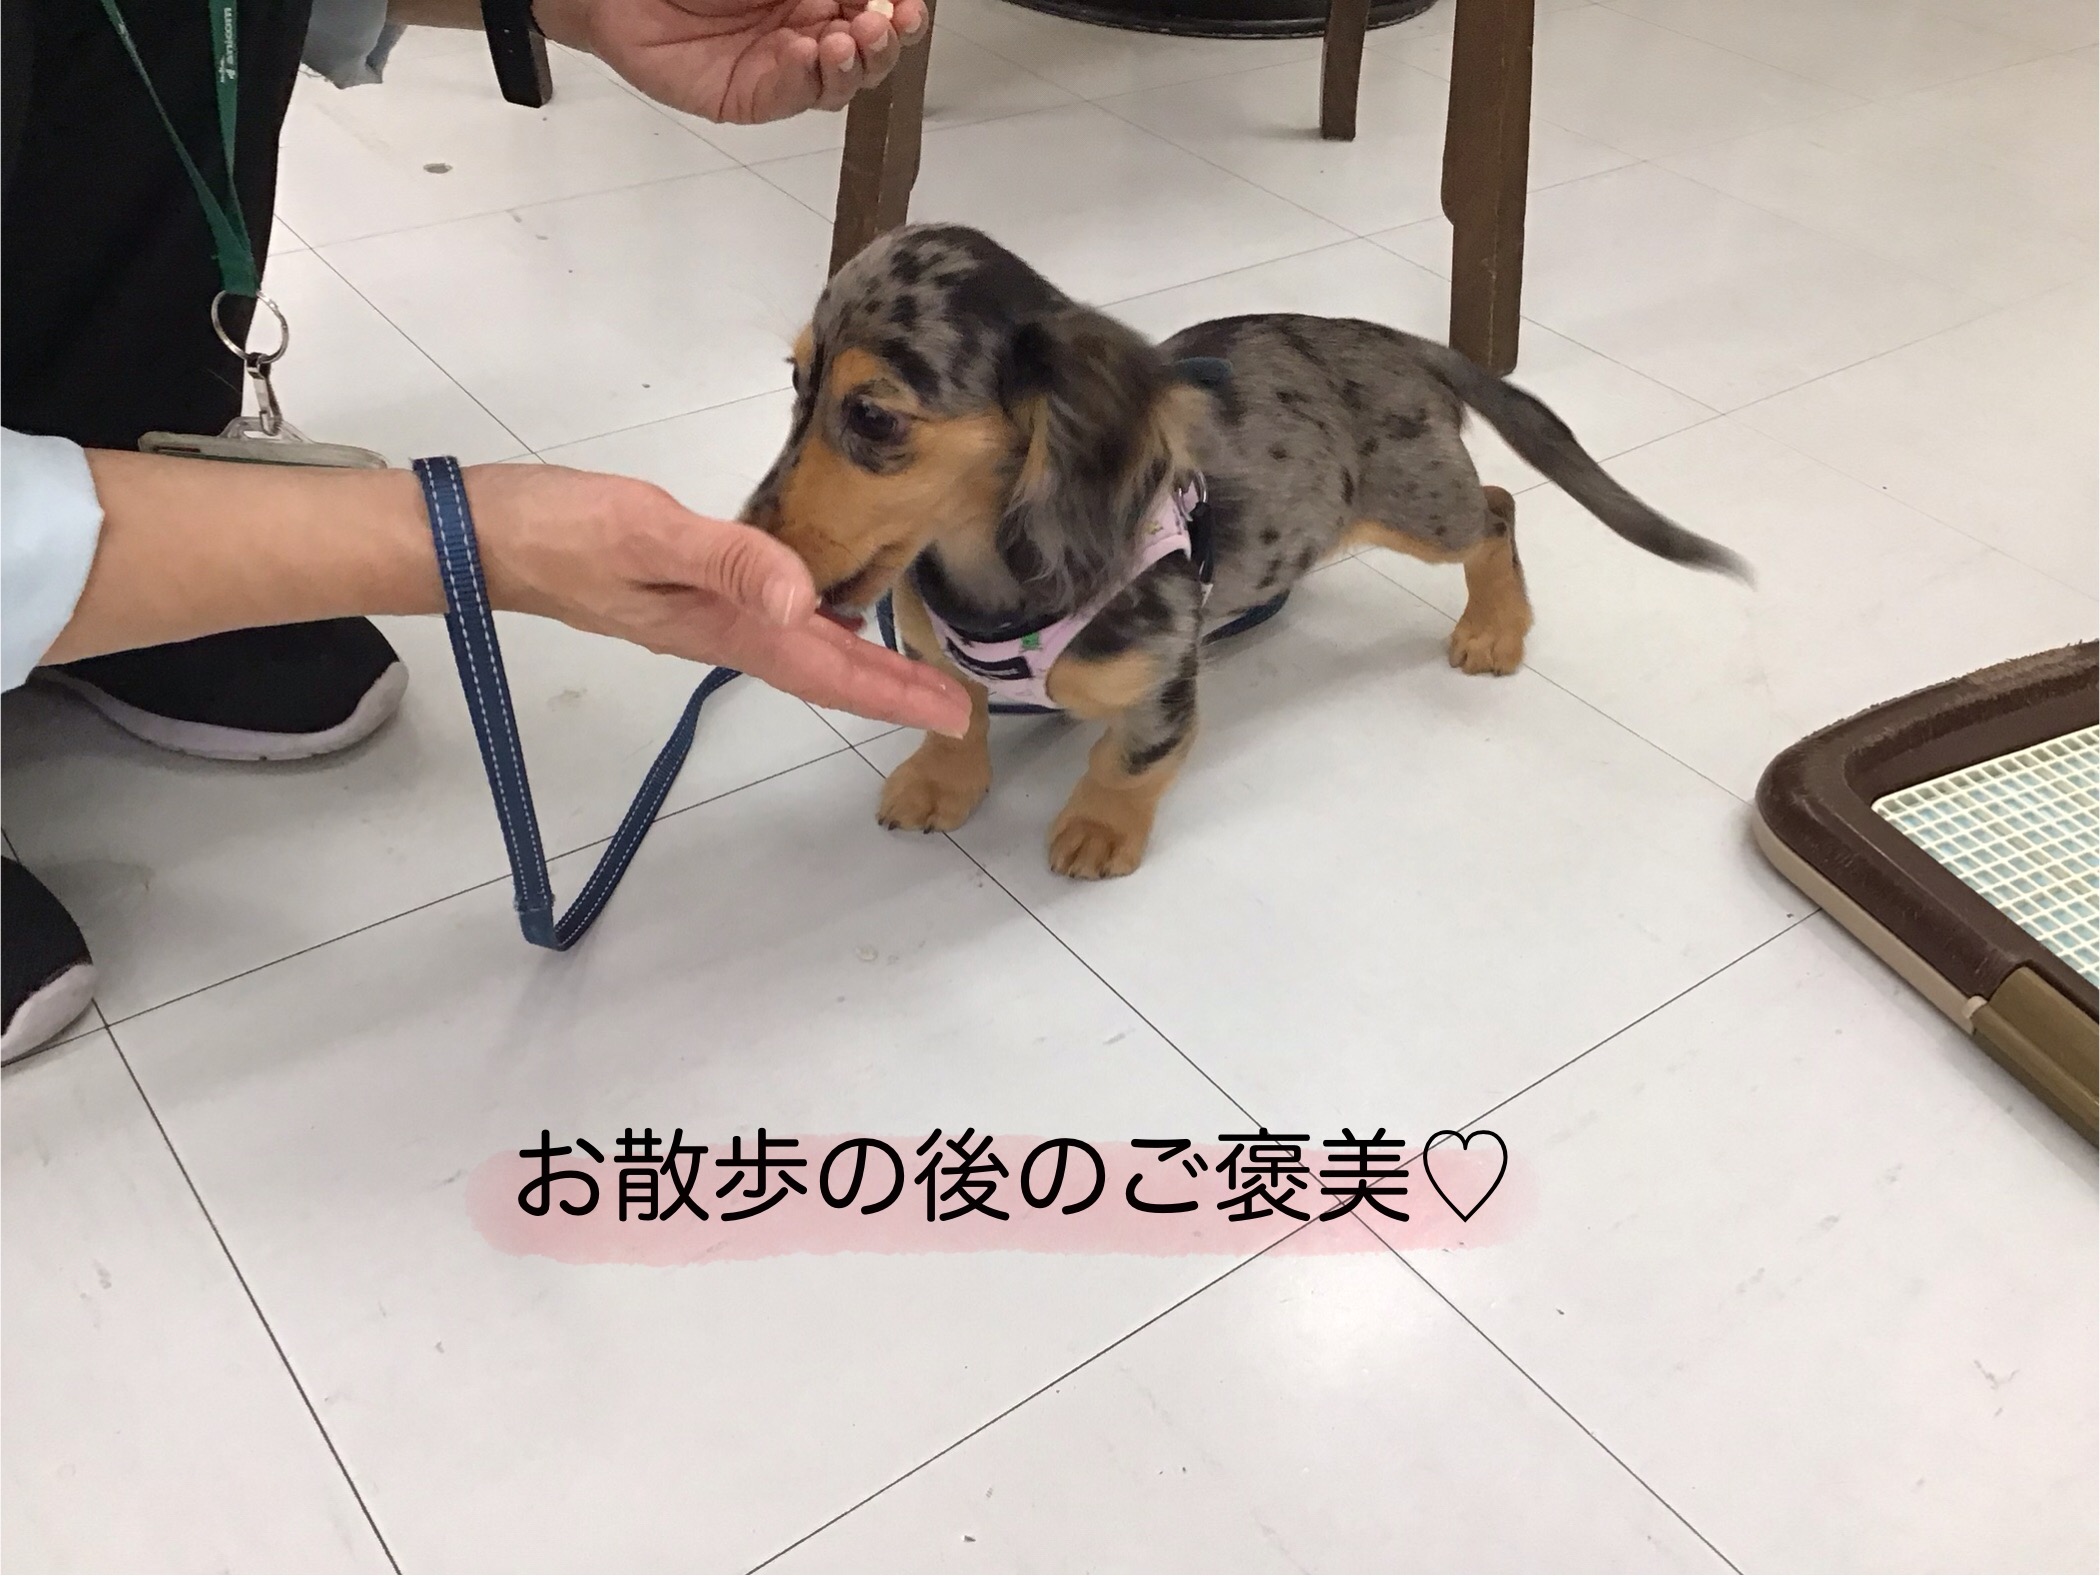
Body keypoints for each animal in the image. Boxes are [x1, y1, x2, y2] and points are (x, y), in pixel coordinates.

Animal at [741, 224, 1746, 880]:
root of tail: (1400, 341)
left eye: (873, 416)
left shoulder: (1166, 673)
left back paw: (1494, 628)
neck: (987, 579)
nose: (747, 544)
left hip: (1420, 508)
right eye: (796, 381)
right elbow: (958, 716)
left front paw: (1101, 828)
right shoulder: (932, 652)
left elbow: (1130, 758)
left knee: (1496, 512)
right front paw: (940, 783)